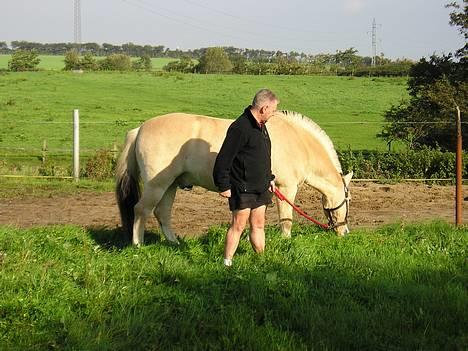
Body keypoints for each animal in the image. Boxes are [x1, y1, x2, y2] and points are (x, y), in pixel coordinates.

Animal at [116, 111, 352, 246]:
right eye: (348, 200)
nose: (345, 232)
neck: (299, 143)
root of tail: (139, 129)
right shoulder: (286, 188)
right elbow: (286, 219)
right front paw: (286, 242)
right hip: (156, 185)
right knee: (141, 210)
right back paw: (138, 245)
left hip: (170, 185)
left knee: (162, 212)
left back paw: (174, 243)